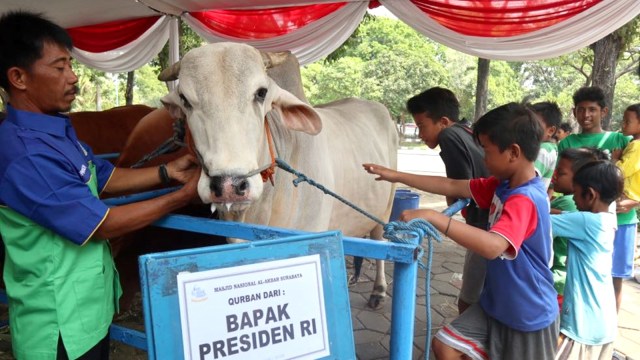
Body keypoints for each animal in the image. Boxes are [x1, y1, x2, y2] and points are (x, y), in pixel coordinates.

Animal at [158, 43, 398, 310]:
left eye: (261, 93)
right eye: (184, 98)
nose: (229, 185)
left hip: (386, 206)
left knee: (380, 241)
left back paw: (378, 290)